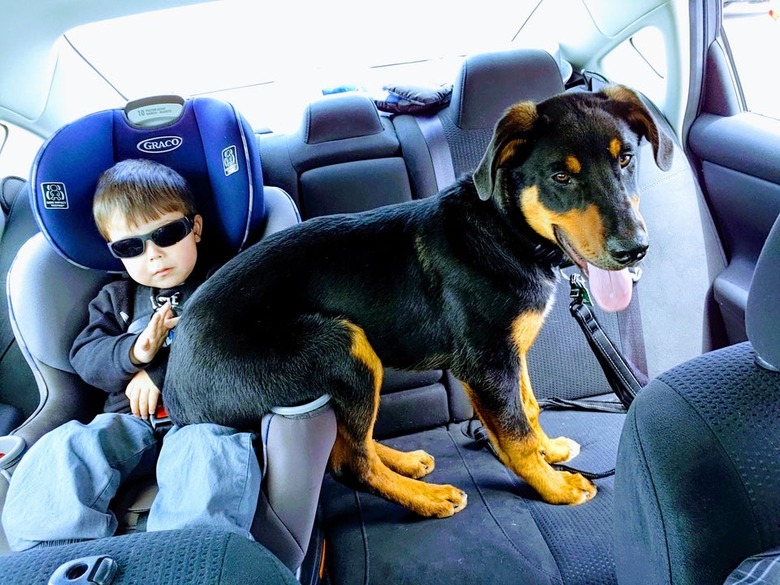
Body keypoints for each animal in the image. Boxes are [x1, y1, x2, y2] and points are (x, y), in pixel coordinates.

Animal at [166, 85, 676, 516]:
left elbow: (527, 409)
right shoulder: (487, 363)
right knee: (349, 461)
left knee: (351, 441)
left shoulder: (509, 354)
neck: (503, 230)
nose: (634, 250)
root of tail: (176, 392)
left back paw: (405, 463)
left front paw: (549, 451)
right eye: (560, 177)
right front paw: (554, 485)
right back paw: (427, 498)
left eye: (626, 160)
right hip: (342, 346)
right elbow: (514, 433)